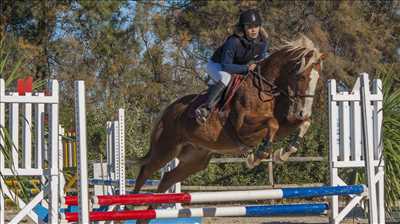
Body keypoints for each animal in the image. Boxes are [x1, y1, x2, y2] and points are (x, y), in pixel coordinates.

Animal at [133, 34, 326, 194]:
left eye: (318, 79)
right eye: (301, 77)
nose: (303, 112)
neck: (264, 89)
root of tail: (168, 109)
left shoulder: (279, 129)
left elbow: (302, 124)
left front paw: (284, 153)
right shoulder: (242, 128)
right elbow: (272, 123)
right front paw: (257, 156)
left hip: (195, 159)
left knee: (167, 179)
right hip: (166, 149)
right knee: (145, 171)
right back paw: (133, 203)